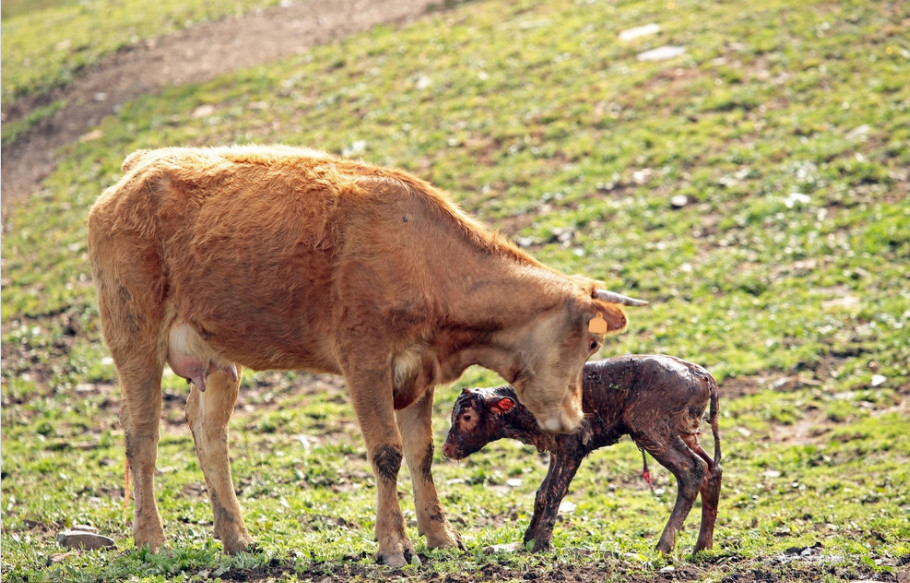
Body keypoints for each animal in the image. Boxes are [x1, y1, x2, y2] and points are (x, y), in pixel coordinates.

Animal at [83, 144, 640, 568]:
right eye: (591, 342)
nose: (574, 420)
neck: (426, 257)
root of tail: (140, 166)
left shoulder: (419, 372)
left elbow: (421, 453)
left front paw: (441, 538)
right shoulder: (365, 359)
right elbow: (386, 452)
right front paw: (394, 546)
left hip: (218, 358)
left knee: (208, 432)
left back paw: (236, 538)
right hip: (134, 337)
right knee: (142, 437)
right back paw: (152, 541)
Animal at [446, 354, 724, 556]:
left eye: (467, 417)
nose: (447, 449)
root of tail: (700, 373)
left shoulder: (573, 446)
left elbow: (555, 490)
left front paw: (541, 544)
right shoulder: (556, 450)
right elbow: (542, 493)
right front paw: (526, 541)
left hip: (652, 430)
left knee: (692, 469)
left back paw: (664, 546)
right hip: (685, 433)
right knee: (713, 469)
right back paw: (702, 547)